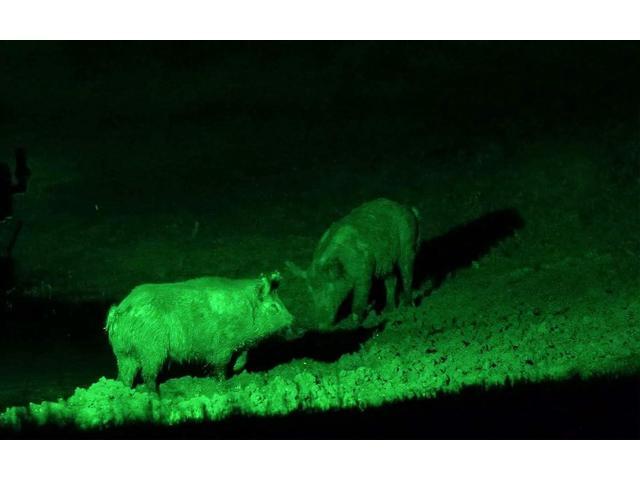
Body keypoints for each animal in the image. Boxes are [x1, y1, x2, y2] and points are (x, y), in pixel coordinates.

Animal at [105, 271, 293, 391]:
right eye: (274, 307)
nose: (292, 318)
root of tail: (118, 311)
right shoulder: (221, 346)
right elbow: (221, 366)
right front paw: (224, 385)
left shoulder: (241, 346)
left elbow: (242, 361)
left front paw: (237, 372)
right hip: (152, 349)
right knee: (149, 375)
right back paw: (156, 395)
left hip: (124, 353)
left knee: (125, 376)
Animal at [286, 198, 420, 333]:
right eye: (311, 291)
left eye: (329, 289)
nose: (322, 327)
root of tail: (409, 209)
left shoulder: (365, 273)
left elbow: (360, 299)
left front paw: (354, 324)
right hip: (386, 263)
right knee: (391, 280)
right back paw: (388, 311)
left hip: (408, 244)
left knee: (407, 274)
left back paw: (408, 306)